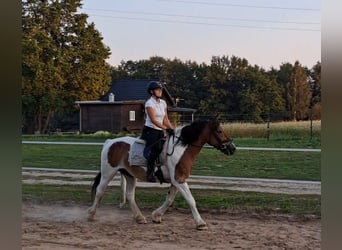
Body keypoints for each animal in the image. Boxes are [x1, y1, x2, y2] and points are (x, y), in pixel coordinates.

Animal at [87, 115, 236, 230]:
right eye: (219, 131)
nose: (232, 148)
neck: (181, 149)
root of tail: (110, 142)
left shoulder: (177, 180)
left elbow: (169, 199)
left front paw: (156, 216)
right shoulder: (179, 180)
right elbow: (190, 200)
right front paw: (200, 223)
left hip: (129, 175)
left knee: (129, 195)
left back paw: (140, 218)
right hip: (108, 172)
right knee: (100, 191)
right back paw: (91, 214)